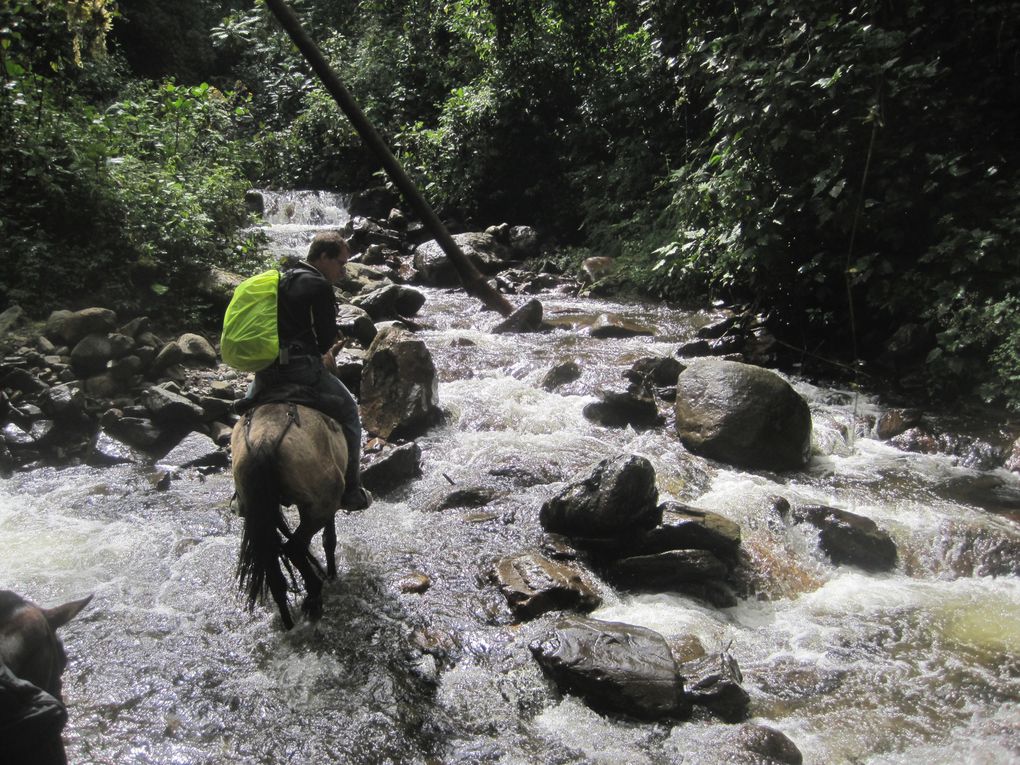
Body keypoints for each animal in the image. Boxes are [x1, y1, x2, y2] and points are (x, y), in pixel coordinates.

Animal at [230, 401, 348, 628]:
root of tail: (263, 440)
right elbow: (329, 539)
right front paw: (331, 573)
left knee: (273, 569)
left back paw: (289, 622)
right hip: (321, 505)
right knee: (293, 548)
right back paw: (313, 595)